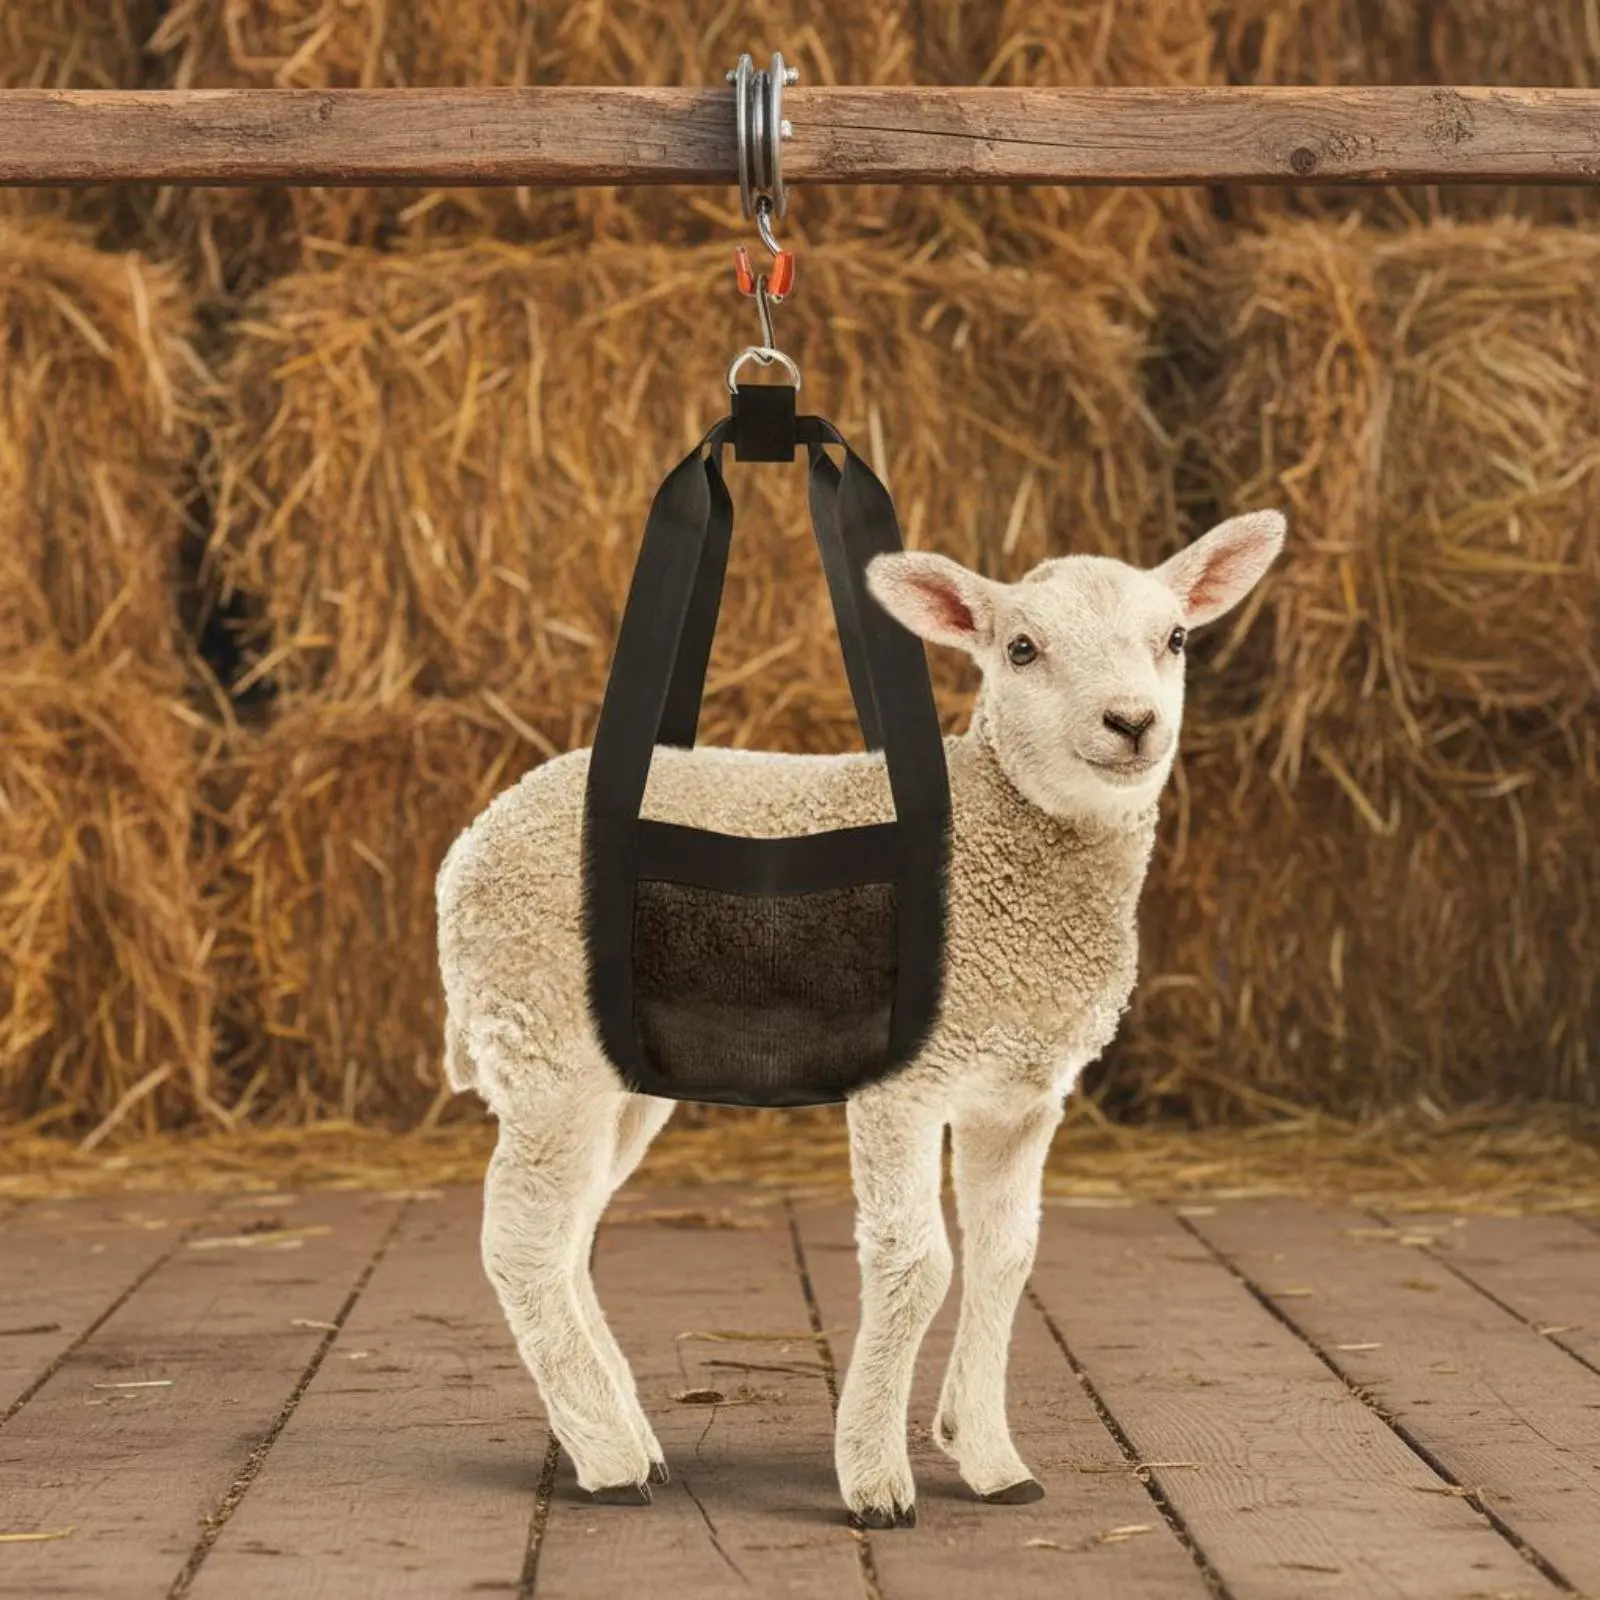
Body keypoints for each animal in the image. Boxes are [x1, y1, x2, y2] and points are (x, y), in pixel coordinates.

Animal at [435, 508, 1286, 1525]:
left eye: (1178, 638)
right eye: (1022, 648)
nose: (1132, 722)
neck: (1011, 856)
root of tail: (473, 839)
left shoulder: (1019, 1097)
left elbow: (1006, 1260)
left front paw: (991, 1459)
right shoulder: (904, 1085)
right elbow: (918, 1267)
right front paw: (877, 1478)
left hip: (620, 1073)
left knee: (568, 1239)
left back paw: (627, 1441)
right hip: (544, 1032)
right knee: (522, 1241)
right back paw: (608, 1463)